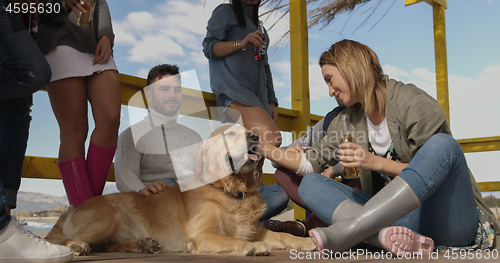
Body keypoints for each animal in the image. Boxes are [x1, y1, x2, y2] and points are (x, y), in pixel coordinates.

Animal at [46, 126, 312, 258]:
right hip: (111, 215)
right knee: (61, 241)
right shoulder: (201, 234)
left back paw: (143, 245)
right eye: (230, 133)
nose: (256, 136)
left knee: (106, 245)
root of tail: (70, 209)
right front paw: (253, 248)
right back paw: (77, 247)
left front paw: (304, 241)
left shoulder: (254, 228)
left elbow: (282, 236)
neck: (230, 190)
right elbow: (231, 239)